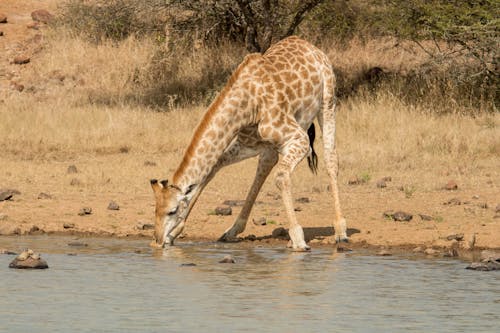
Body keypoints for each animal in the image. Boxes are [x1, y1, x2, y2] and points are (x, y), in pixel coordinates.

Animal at [149, 35, 348, 249]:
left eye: (171, 211)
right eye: (156, 209)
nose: (157, 240)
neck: (247, 106)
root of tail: (311, 46)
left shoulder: (299, 139)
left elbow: (281, 177)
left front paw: (298, 239)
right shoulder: (249, 143)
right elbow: (213, 167)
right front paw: (174, 234)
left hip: (327, 102)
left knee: (330, 158)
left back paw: (340, 230)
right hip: (277, 139)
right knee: (265, 166)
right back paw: (233, 230)